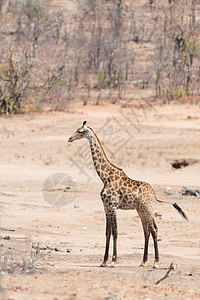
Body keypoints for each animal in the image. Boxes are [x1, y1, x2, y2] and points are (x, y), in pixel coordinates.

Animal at [68, 120, 188, 266]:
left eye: (79, 131)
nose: (70, 139)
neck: (104, 176)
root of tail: (154, 194)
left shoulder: (113, 206)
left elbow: (115, 232)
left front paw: (113, 261)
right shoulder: (106, 207)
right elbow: (108, 232)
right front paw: (104, 261)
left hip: (148, 208)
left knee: (153, 229)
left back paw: (156, 260)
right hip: (140, 210)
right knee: (146, 230)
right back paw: (143, 261)